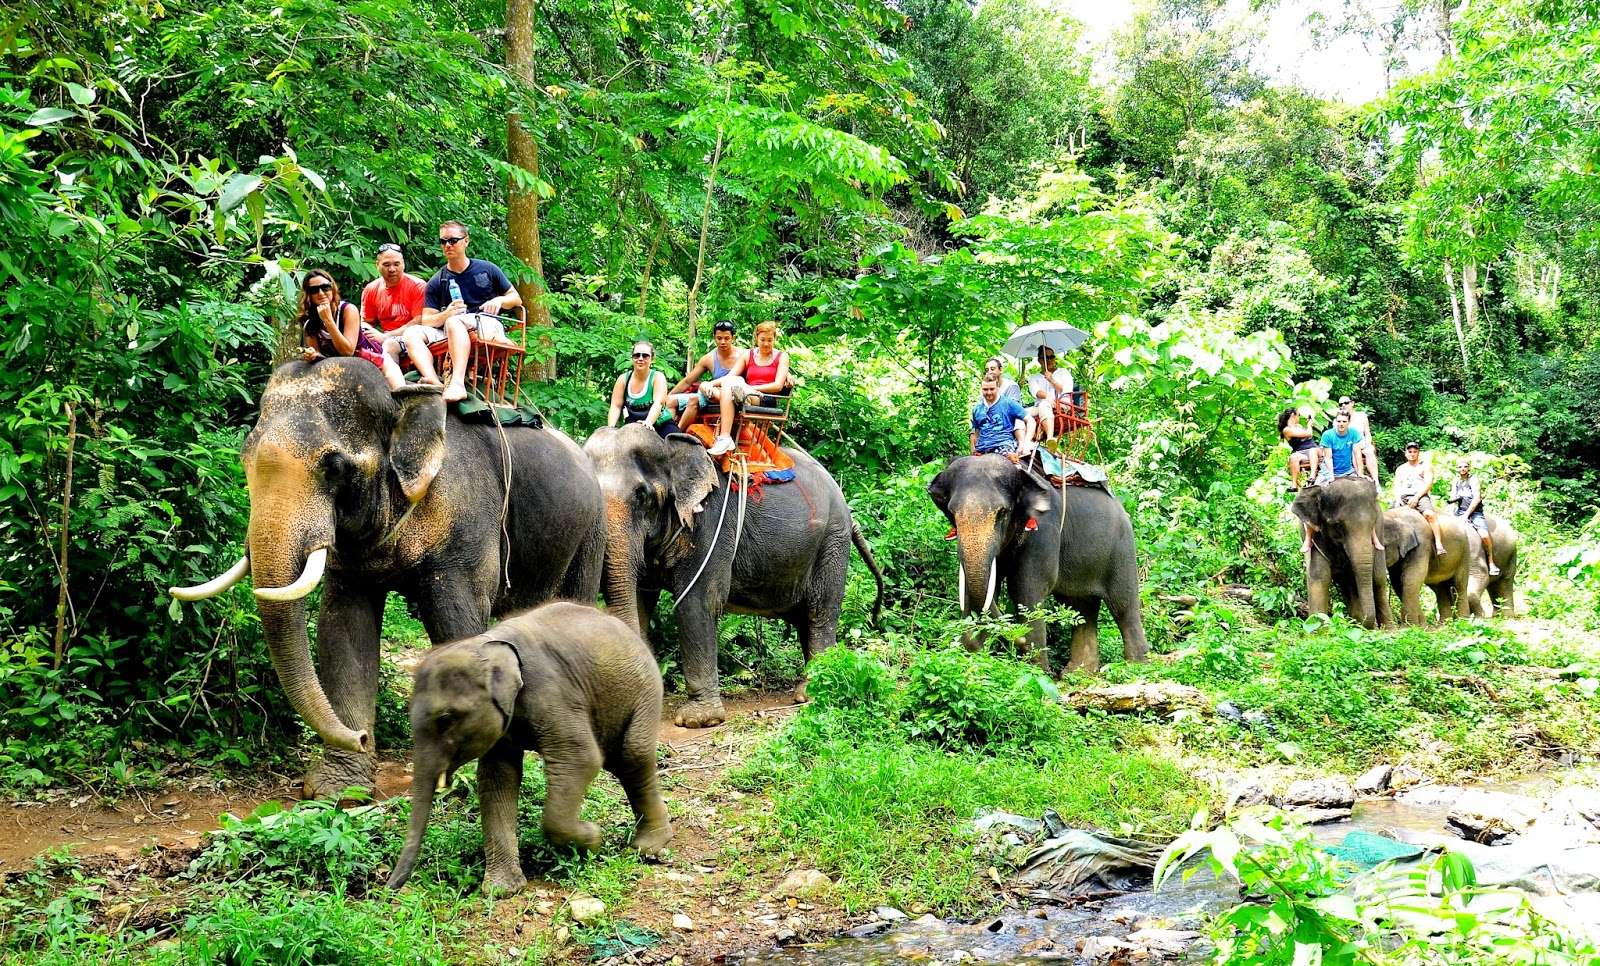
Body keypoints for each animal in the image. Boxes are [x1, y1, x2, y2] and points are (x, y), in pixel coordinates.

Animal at [169, 359, 605, 797]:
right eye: (245, 459)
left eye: (334, 467)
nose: (359, 737)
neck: (402, 405)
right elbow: (343, 631)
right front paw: (339, 789)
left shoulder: (467, 522)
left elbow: (457, 623)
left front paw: (455, 776)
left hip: (592, 530)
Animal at [387, 602, 671, 895]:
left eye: (445, 719)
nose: (388, 887)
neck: (488, 645)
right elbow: (498, 777)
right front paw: (502, 890)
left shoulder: (552, 692)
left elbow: (580, 759)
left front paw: (593, 839)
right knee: (618, 762)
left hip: (646, 690)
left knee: (632, 755)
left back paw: (647, 849)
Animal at [582, 424, 885, 728]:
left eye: (642, 495)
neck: (669, 446)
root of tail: (847, 510)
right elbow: (638, 599)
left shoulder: (710, 524)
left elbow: (698, 602)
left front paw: (698, 720)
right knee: (803, 619)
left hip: (832, 542)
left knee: (820, 611)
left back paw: (811, 692)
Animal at [926, 455, 1148, 673]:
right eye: (952, 513)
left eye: (1002, 513)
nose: (1018, 640)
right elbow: (984, 589)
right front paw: (974, 655)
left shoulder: (1044, 529)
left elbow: (1027, 589)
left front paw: (1037, 672)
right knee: (1081, 607)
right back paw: (1077, 673)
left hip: (1122, 548)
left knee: (1123, 605)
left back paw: (1137, 667)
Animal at [1290, 476, 1392, 628]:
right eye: (1337, 525)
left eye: (1372, 523)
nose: (1365, 624)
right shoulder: (1315, 534)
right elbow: (1320, 575)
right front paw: (1318, 630)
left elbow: (1356, 575)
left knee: (1377, 577)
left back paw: (1388, 629)